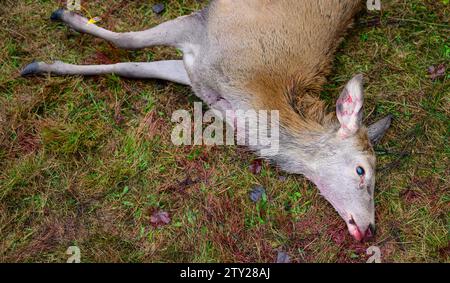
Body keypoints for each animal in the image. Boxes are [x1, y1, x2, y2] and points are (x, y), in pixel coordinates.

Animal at [22, 0, 392, 244]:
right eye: (362, 170)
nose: (370, 229)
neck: (249, 96)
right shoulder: (202, 26)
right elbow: (127, 42)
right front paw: (62, 19)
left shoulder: (194, 70)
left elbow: (130, 67)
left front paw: (43, 65)